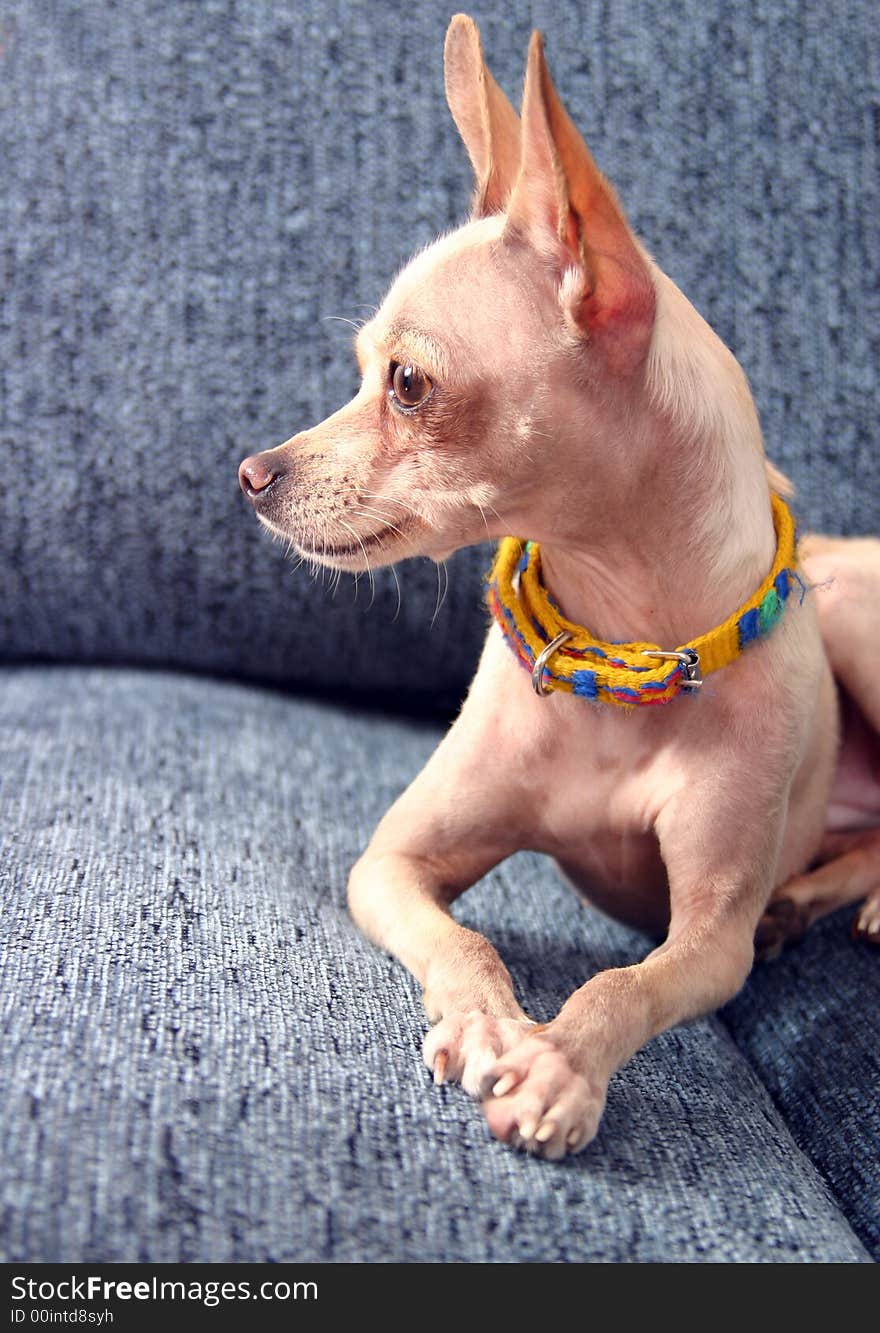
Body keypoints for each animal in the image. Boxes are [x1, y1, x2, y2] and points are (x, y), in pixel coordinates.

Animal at [240, 12, 880, 1157]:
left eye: (407, 384)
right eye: (361, 370)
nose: (253, 473)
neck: (613, 644)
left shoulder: (708, 940)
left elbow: (624, 982)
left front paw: (559, 1065)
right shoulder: (390, 863)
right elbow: (467, 942)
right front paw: (490, 1025)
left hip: (857, 615)